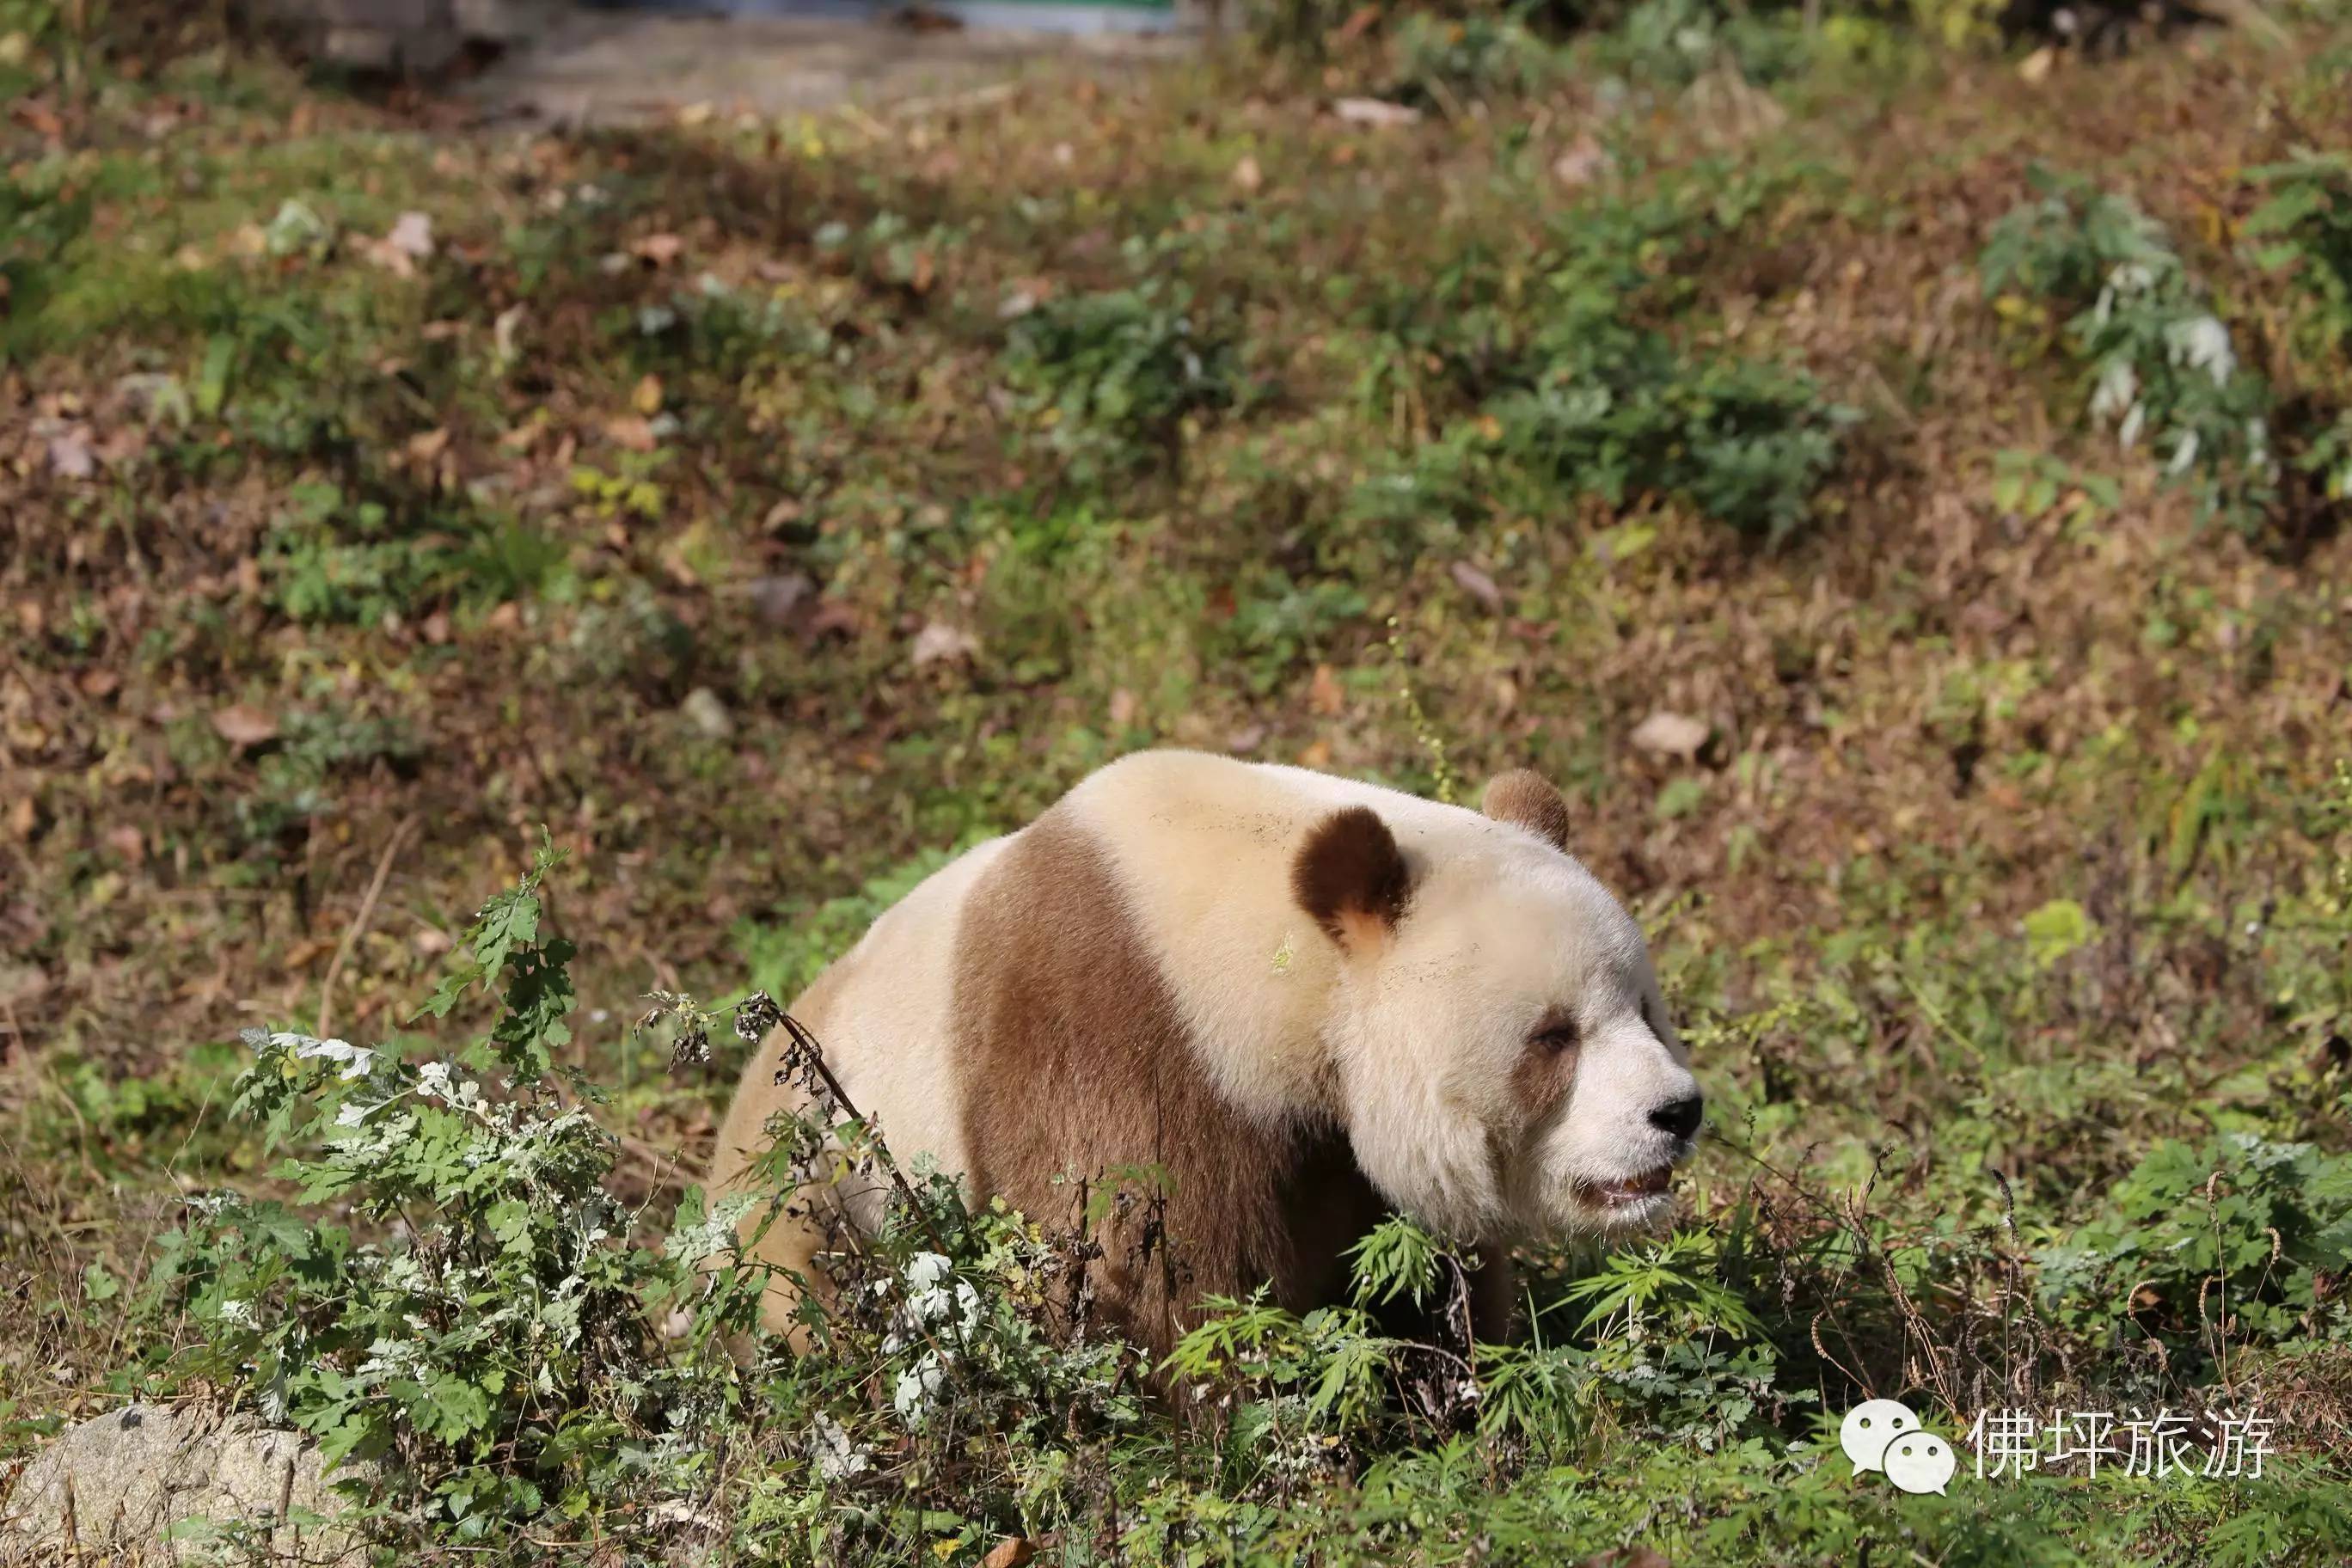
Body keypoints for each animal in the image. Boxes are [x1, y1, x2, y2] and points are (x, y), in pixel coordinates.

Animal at [705, 752, 1702, 1354]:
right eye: (1553, 1037)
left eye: (1645, 1010)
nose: (1677, 1113)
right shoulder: (1120, 1032)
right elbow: (1141, 1277)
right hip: (814, 1178)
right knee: (800, 1301)